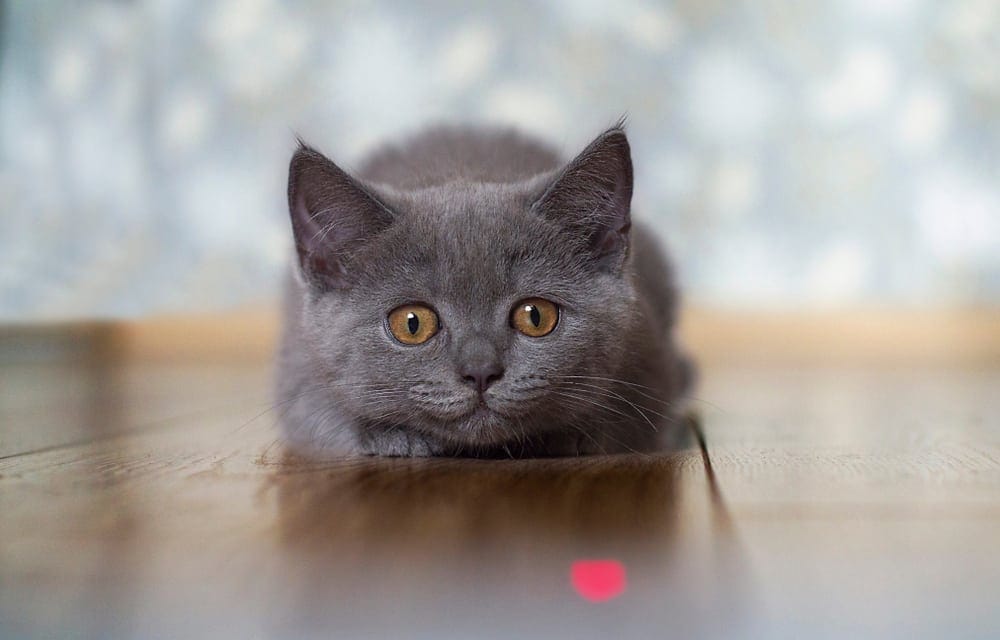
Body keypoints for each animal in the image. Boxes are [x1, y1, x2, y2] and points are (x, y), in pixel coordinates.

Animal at [276, 122, 696, 458]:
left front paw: (566, 437)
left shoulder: (648, 364)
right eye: (411, 323)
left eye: (535, 316)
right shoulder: (299, 367)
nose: (480, 372)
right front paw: (397, 439)